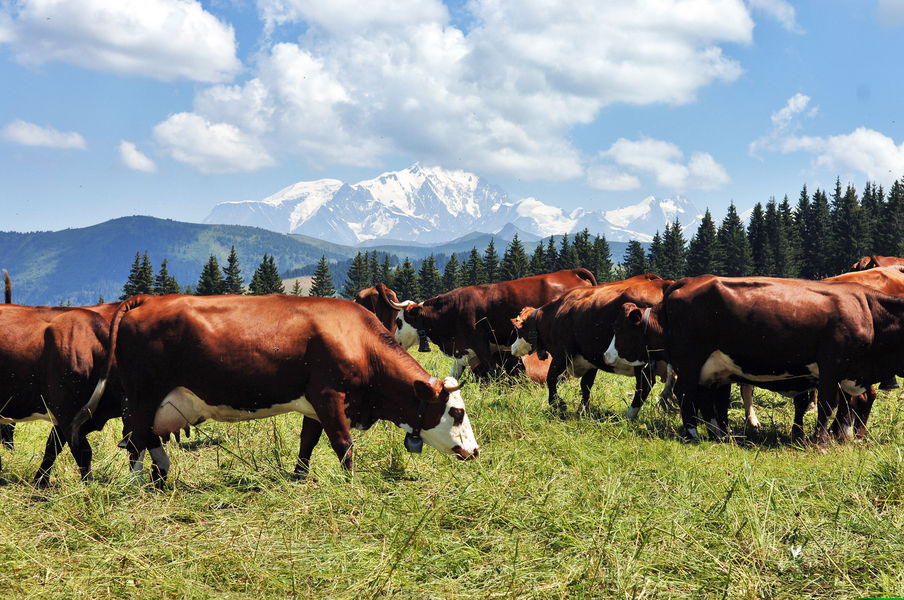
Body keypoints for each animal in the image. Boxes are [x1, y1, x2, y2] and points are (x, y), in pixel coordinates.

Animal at [74, 294, 480, 486]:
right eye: (456, 412)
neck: (357, 338)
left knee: (144, 438)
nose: (475, 451)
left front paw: (299, 478)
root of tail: (148, 299)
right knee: (134, 440)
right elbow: (343, 444)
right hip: (142, 395)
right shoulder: (330, 396)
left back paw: (159, 477)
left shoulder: (315, 403)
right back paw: (139, 482)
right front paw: (352, 484)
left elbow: (308, 442)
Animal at [385, 269, 598, 380]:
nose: (394, 341)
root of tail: (571, 272)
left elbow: (493, 372)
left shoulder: (481, 344)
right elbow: (454, 375)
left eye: (399, 321)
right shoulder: (463, 350)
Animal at [509, 274, 674, 416]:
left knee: (644, 386)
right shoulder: (590, 359)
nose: (512, 348)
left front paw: (557, 403)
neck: (556, 313)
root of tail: (664, 284)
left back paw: (629, 415)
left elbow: (551, 378)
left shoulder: (562, 354)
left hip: (641, 361)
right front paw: (583, 410)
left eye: (517, 330)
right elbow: (586, 385)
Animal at [606, 275, 904, 445]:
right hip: (691, 361)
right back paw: (694, 434)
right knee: (685, 394)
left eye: (620, 329)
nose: (607, 356)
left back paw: (714, 434)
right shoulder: (831, 370)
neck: (868, 310)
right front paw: (820, 442)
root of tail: (686, 282)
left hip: (700, 366)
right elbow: (827, 407)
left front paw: (833, 438)